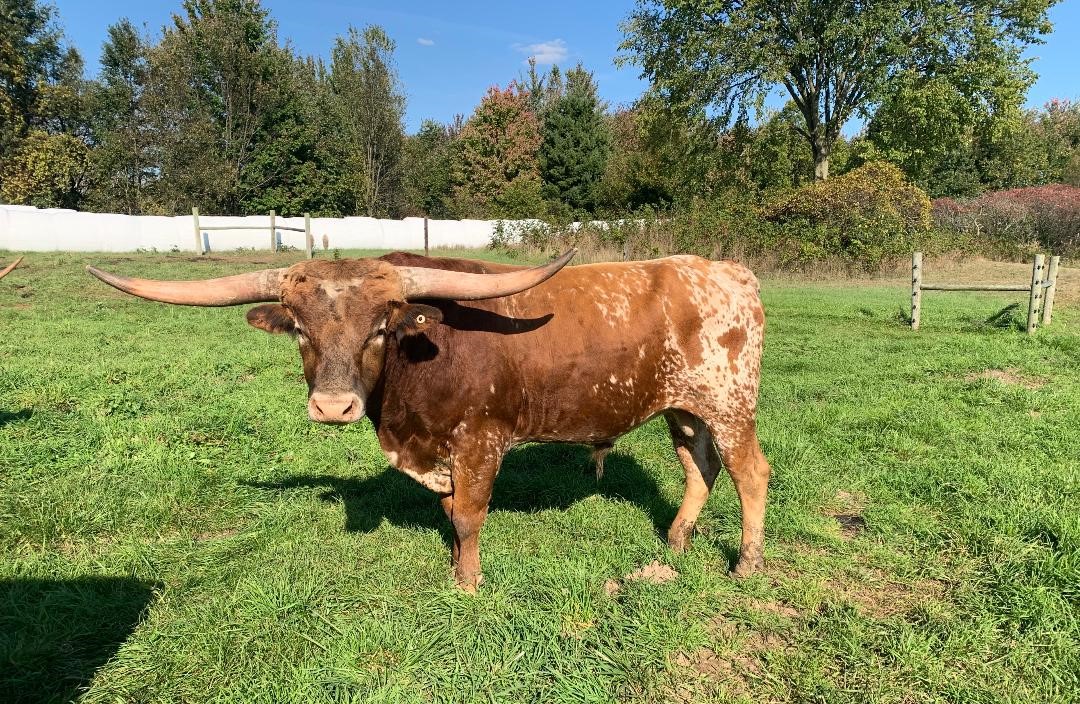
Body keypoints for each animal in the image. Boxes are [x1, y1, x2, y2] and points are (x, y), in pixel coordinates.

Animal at [87, 251, 771, 591]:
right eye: (300, 328)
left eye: (381, 326)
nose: (332, 407)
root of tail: (725, 270)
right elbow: (447, 509)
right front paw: (454, 563)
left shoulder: (481, 440)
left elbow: (468, 515)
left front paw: (467, 583)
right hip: (683, 408)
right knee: (700, 466)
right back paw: (676, 541)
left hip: (731, 402)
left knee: (750, 473)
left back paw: (745, 563)